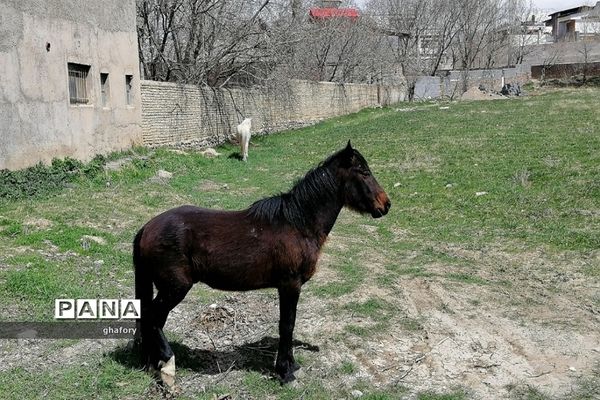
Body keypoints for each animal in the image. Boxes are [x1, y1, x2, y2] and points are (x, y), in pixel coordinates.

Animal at [134, 142, 392, 386]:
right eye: (364, 172)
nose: (386, 204)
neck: (298, 224)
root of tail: (147, 227)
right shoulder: (290, 285)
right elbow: (287, 324)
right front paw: (285, 371)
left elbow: (289, 324)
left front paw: (291, 365)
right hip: (175, 288)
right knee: (151, 318)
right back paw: (167, 365)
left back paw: (154, 363)